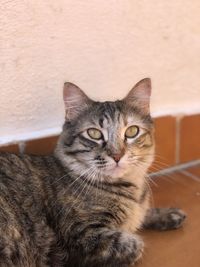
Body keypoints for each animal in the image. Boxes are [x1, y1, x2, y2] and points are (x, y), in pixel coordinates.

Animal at [0, 78, 186, 266]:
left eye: (132, 131)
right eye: (94, 133)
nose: (117, 155)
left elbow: (143, 214)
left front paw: (168, 214)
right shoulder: (83, 236)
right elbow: (135, 244)